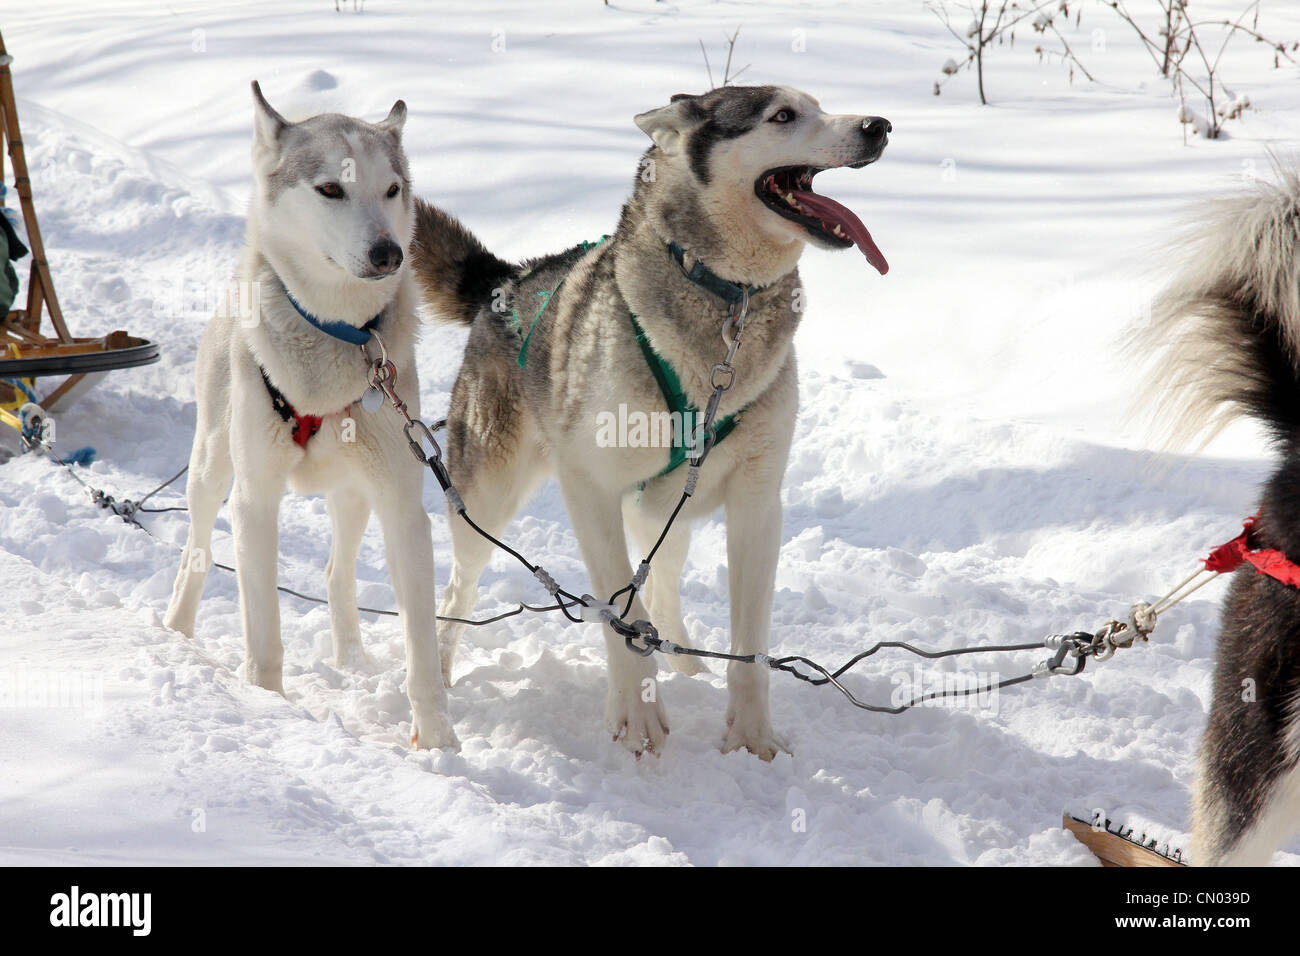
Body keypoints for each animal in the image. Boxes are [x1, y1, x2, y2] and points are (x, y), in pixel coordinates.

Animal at [166, 83, 457, 754]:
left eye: (392, 189)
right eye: (330, 189)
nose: (388, 252)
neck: (336, 332)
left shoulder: (402, 506)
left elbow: (421, 647)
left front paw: (435, 741)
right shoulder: (255, 502)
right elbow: (263, 629)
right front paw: (267, 703)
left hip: (355, 494)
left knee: (335, 572)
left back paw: (350, 658)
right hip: (211, 469)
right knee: (196, 549)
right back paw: (176, 628)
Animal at [410, 87, 889, 764]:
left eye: (818, 105)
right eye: (782, 116)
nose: (879, 125)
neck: (727, 303)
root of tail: (506, 281)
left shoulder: (757, 503)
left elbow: (749, 647)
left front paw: (752, 738)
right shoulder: (590, 490)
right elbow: (620, 615)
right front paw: (637, 717)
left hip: (667, 510)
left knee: (662, 583)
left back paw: (686, 662)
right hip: (488, 502)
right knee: (459, 591)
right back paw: (445, 673)